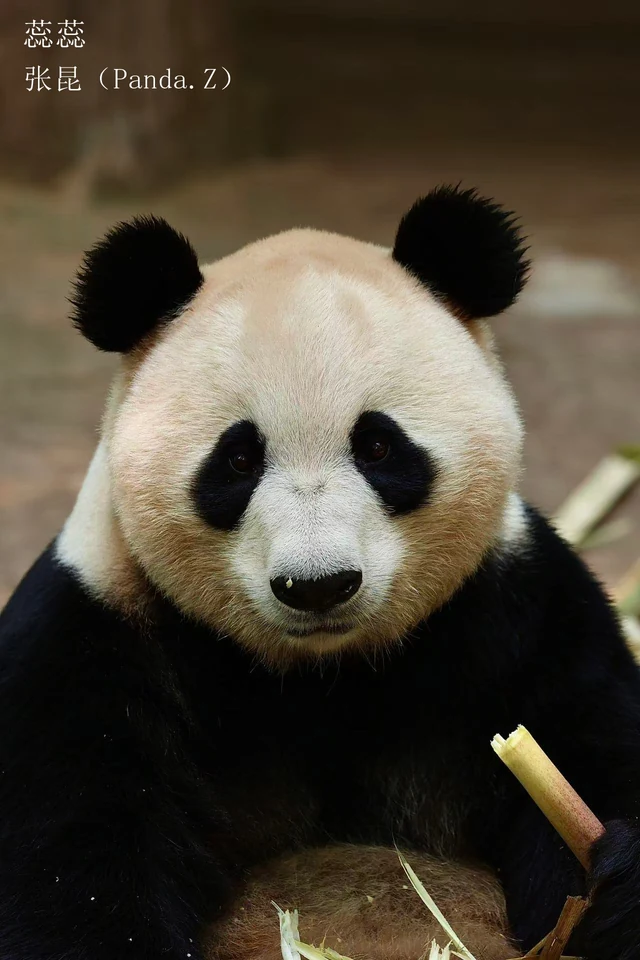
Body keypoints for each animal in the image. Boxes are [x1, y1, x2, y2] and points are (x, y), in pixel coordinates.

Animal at [1, 185, 639, 960]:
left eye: (378, 446)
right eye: (238, 460)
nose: (318, 586)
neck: (323, 674)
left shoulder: (516, 610)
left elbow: (593, 743)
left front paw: (616, 885)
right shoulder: (99, 629)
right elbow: (72, 848)